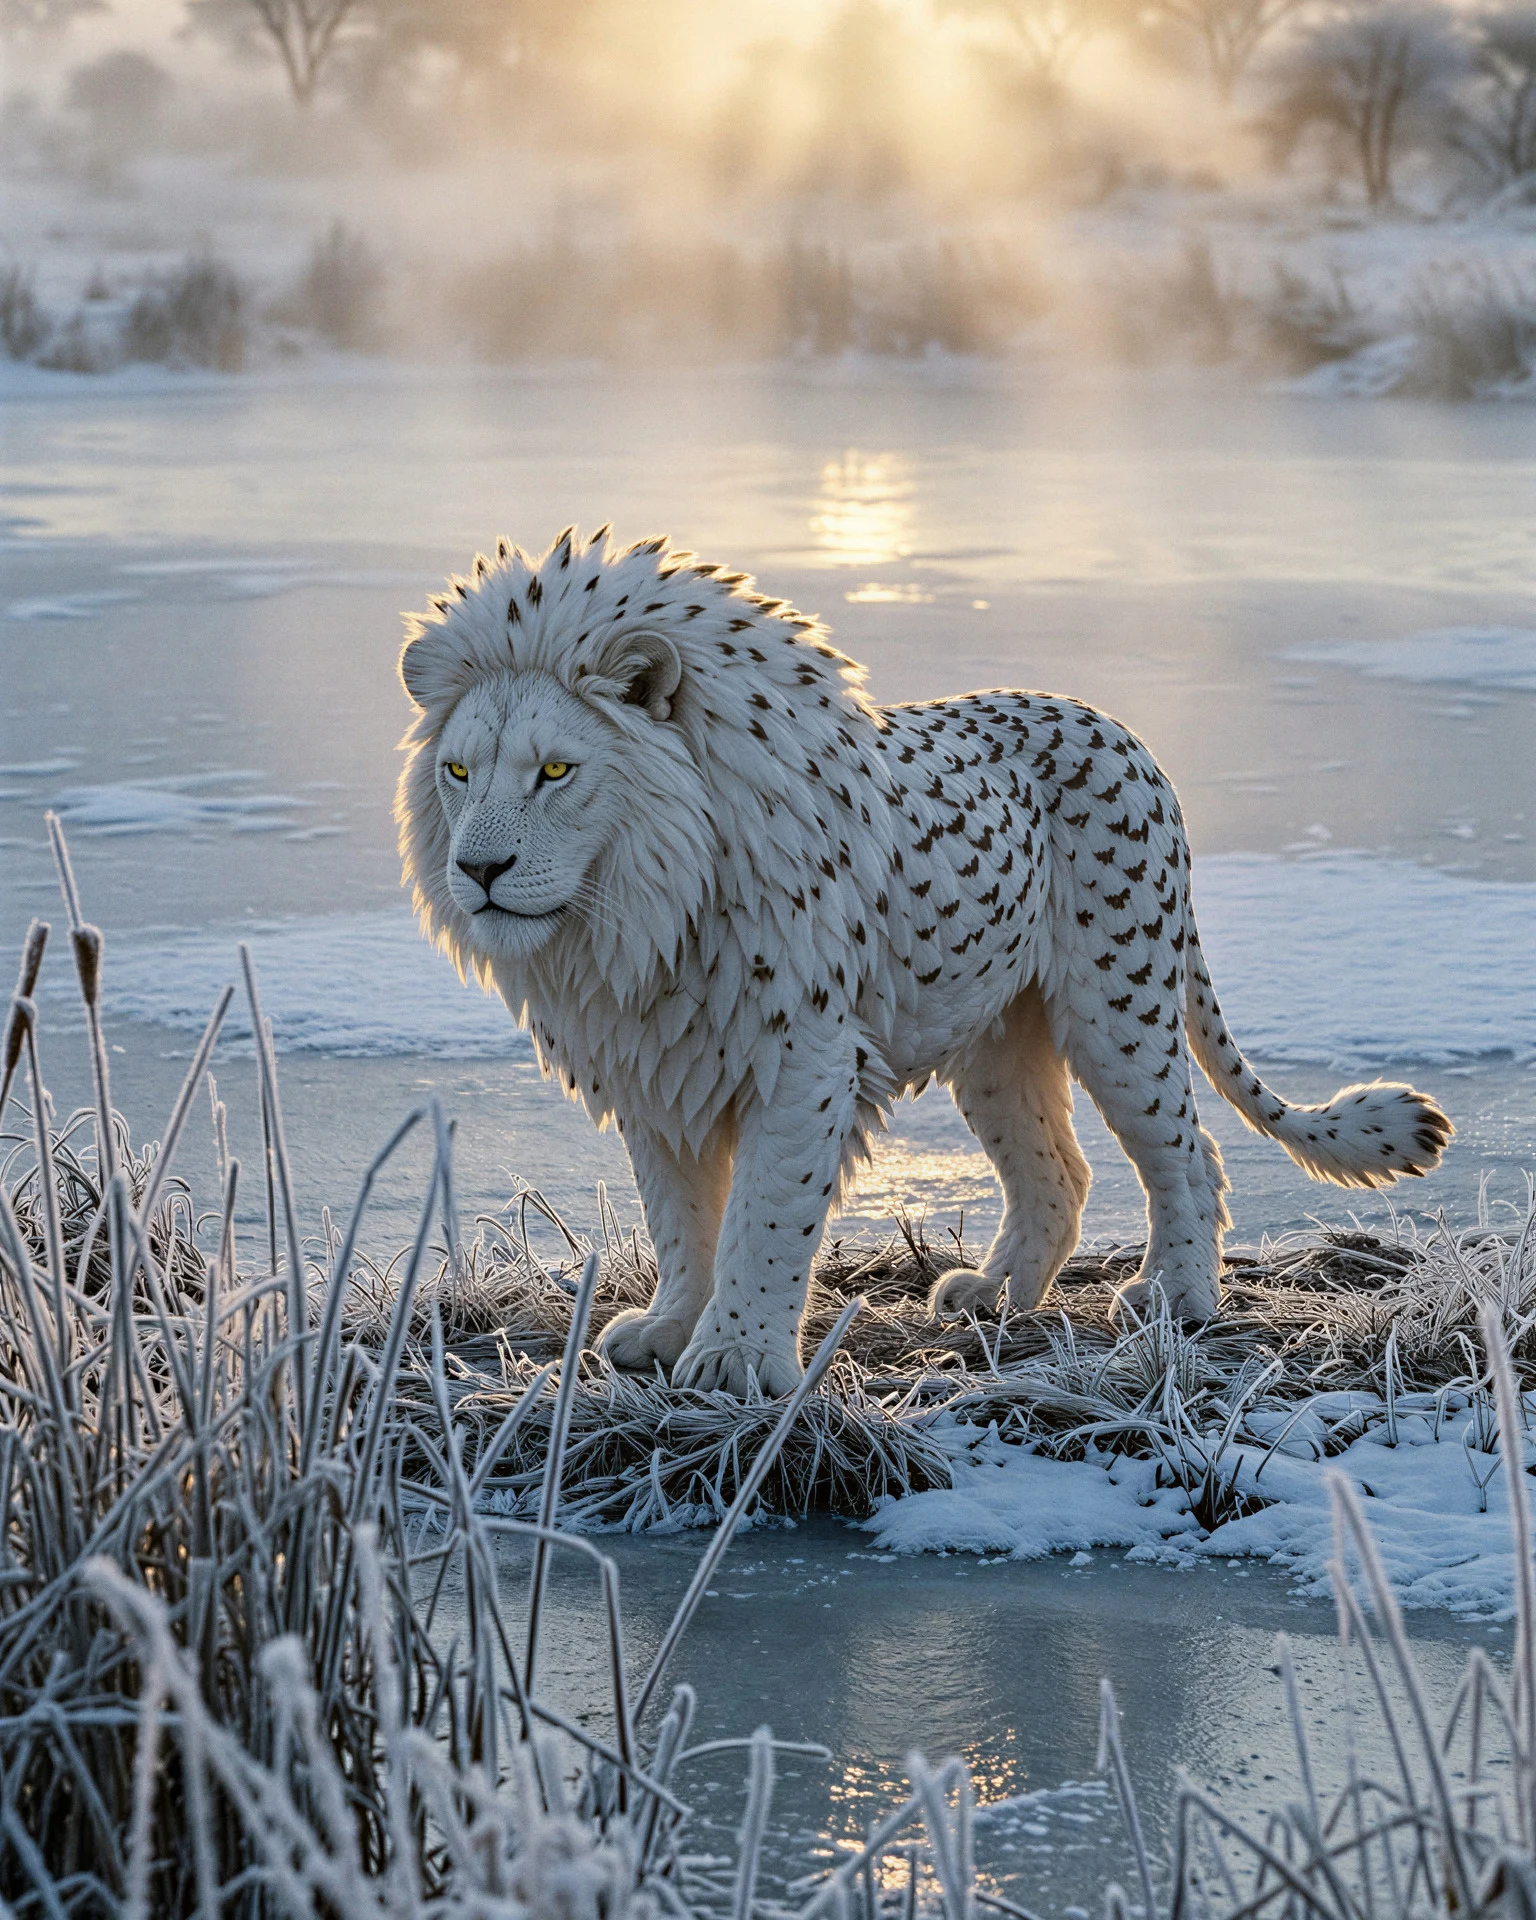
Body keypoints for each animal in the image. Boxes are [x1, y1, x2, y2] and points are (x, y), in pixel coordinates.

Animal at [395, 527, 1452, 1396]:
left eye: (556, 770)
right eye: (458, 772)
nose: (478, 872)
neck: (640, 909)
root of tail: (1124, 732)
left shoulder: (803, 1057)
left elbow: (766, 1215)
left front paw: (735, 1360)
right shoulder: (658, 1061)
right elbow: (679, 1215)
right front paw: (668, 1332)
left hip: (1120, 1002)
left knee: (1188, 1152)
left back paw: (1173, 1301)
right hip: (996, 1041)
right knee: (1057, 1170)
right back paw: (995, 1296)